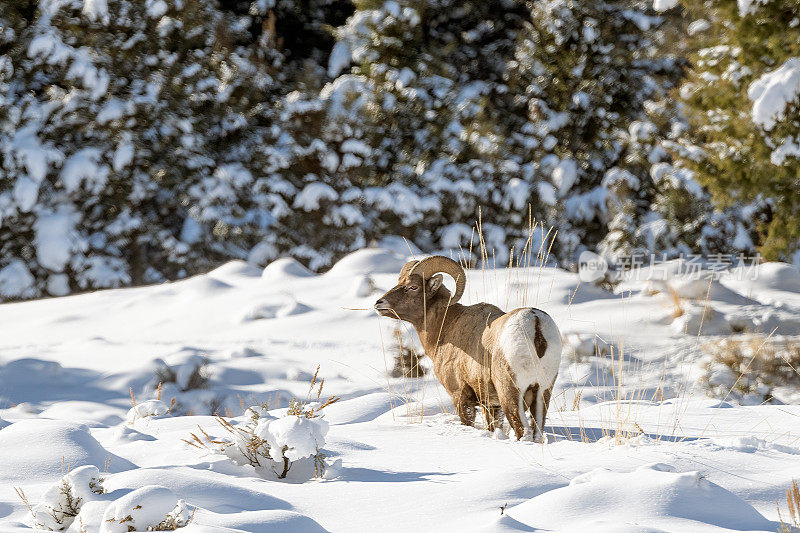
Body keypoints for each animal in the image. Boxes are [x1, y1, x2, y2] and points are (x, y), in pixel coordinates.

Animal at [376, 256, 564, 438]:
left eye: (412, 287)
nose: (379, 303)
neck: (446, 327)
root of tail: (535, 322)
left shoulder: (460, 396)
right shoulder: (492, 405)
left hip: (510, 394)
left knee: (522, 431)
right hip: (542, 394)